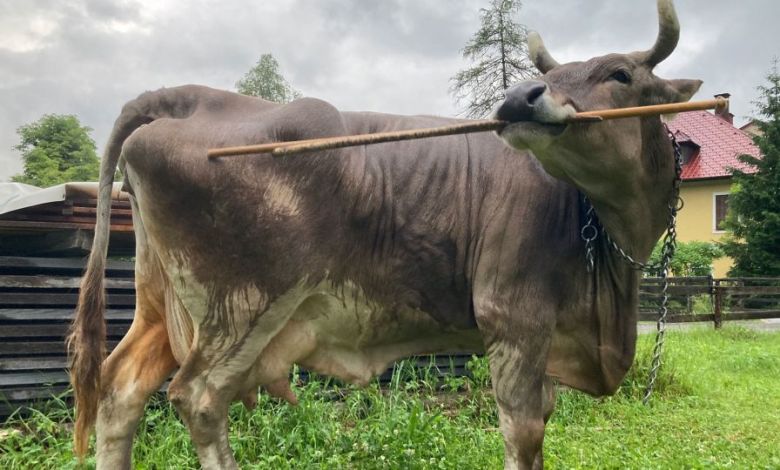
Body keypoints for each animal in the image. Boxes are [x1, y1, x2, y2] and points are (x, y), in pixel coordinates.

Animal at [68, 0, 701, 468]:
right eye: (550, 76)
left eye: (619, 74)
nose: (519, 97)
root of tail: (194, 97)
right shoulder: (514, 320)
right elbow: (522, 435)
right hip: (243, 307)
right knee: (198, 398)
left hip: (162, 306)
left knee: (120, 390)